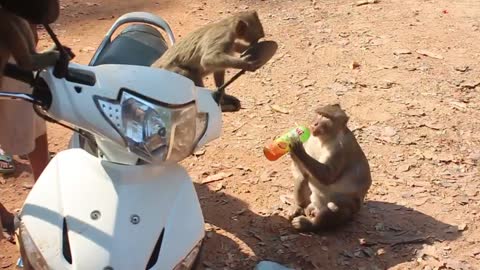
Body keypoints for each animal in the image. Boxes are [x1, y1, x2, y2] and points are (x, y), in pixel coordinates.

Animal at [288, 104, 372, 232]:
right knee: (303, 178)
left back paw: (310, 225)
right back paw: (299, 207)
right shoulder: (312, 140)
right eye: (319, 113)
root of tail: (317, 206)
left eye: (326, 117)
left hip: (351, 207)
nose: (315, 123)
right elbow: (302, 171)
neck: (324, 139)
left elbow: (328, 176)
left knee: (336, 207)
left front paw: (297, 149)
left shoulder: (339, 150)